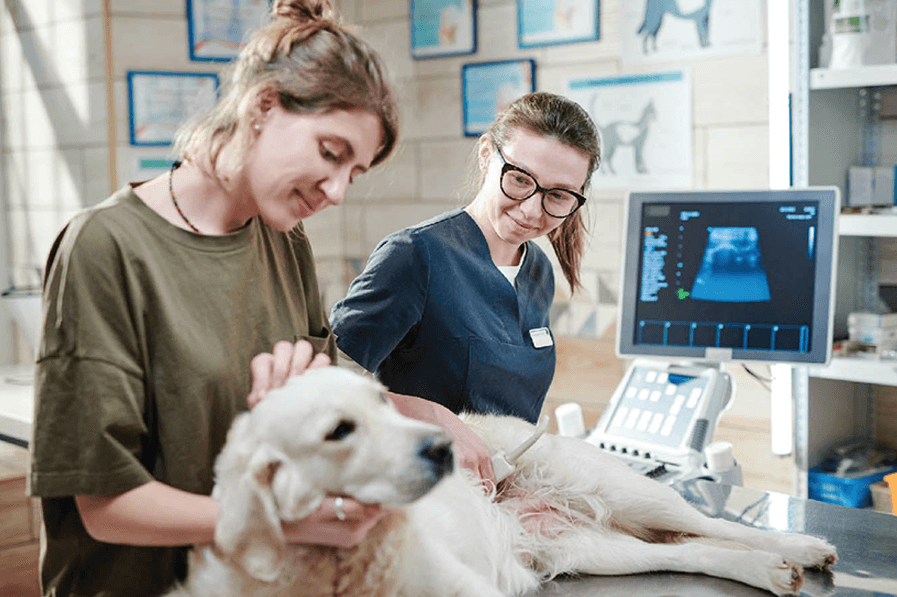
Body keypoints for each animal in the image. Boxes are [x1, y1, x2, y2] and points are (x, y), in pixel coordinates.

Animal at [164, 368, 836, 596]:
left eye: (383, 401)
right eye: (339, 430)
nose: (440, 451)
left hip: (626, 491)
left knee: (711, 524)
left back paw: (800, 548)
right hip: (587, 549)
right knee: (693, 551)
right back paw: (770, 572)